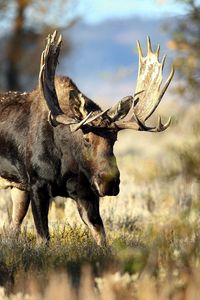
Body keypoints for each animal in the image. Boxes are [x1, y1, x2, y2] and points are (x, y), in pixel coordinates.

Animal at [0, 31, 173, 245]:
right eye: (86, 139)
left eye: (114, 139)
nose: (109, 181)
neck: (65, 162)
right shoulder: (37, 185)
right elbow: (43, 238)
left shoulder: (86, 193)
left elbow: (101, 237)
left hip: (18, 187)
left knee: (13, 227)